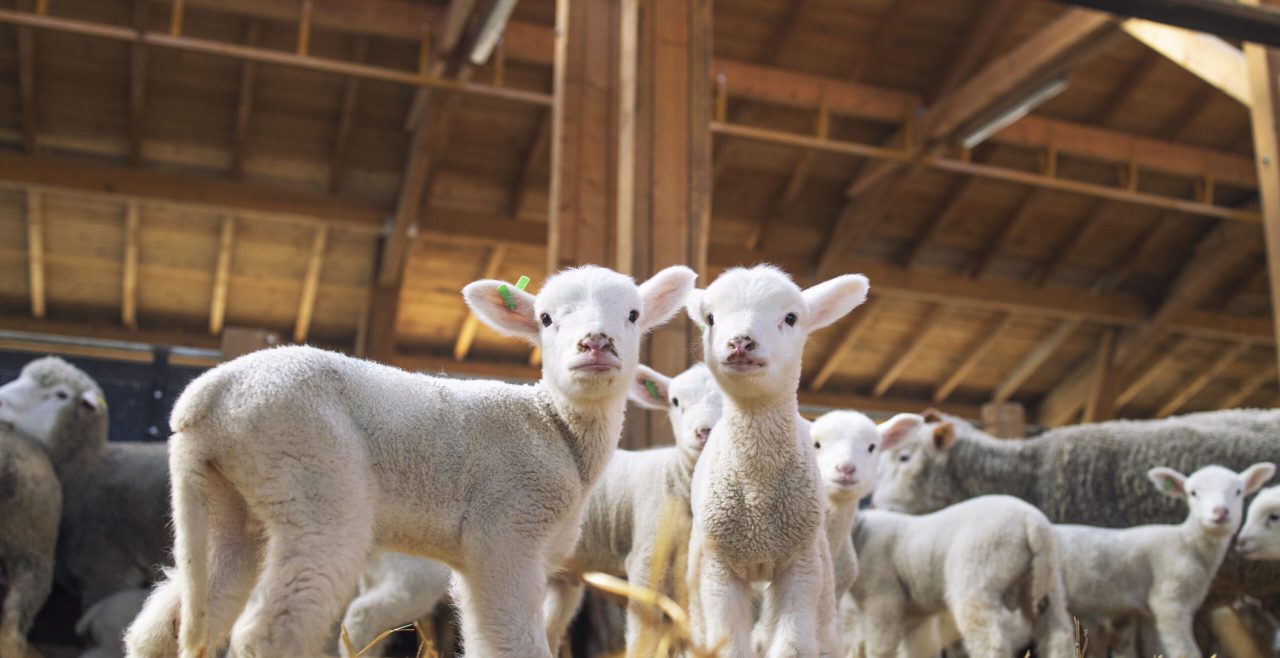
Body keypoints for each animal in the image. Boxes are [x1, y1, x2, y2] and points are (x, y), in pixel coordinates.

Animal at [123, 264, 695, 658]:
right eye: (546, 319)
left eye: (633, 315)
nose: (595, 344)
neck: (554, 425)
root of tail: (206, 397)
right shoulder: (506, 531)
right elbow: (516, 643)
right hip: (311, 477)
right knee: (268, 629)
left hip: (230, 500)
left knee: (169, 623)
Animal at [684, 265, 869, 657]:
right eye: (710, 319)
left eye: (791, 317)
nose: (740, 342)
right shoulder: (719, 569)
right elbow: (728, 645)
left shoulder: (799, 566)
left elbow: (793, 646)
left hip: (820, 565)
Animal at [847, 495, 1076, 658]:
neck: (860, 535)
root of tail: (1032, 523)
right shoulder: (915, 613)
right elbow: (919, 648)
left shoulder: (883, 595)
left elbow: (880, 646)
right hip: (1044, 578)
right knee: (1057, 633)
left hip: (978, 569)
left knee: (990, 641)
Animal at [1051, 462, 1274, 658]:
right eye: (1193, 493)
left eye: (1238, 491)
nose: (1220, 512)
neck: (1188, 542)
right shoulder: (1169, 600)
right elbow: (1186, 651)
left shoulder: (1149, 613)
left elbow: (1155, 649)